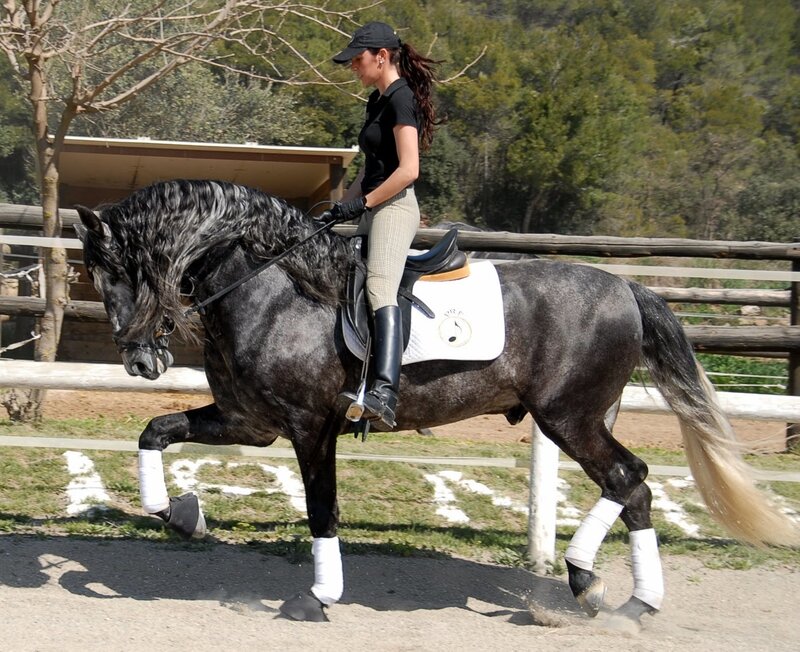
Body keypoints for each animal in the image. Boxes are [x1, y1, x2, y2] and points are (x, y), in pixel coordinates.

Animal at [74, 179, 798, 625]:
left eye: (119, 271)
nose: (140, 361)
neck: (272, 288)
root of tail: (626, 286)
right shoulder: (250, 423)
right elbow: (155, 431)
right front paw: (178, 512)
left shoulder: (311, 426)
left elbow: (321, 509)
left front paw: (318, 596)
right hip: (584, 417)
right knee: (631, 486)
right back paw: (602, 589)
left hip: (569, 416)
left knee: (629, 479)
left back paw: (611, 593)